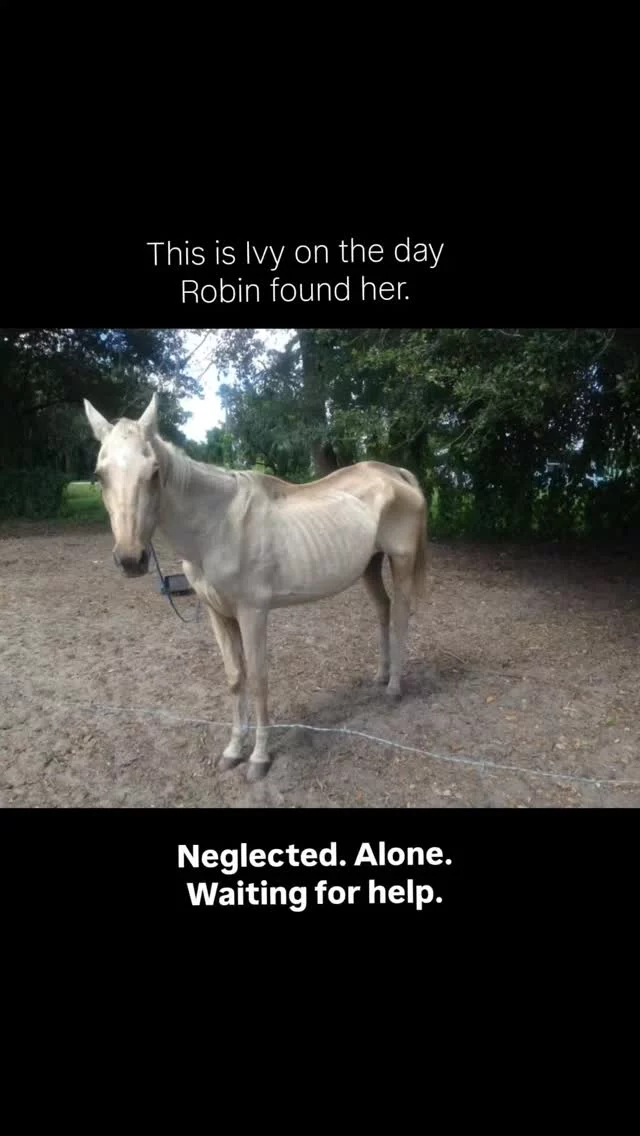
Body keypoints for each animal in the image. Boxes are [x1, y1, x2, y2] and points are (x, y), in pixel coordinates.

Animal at [84, 393, 429, 781]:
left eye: (154, 471)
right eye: (100, 475)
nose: (131, 559)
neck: (217, 525)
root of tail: (394, 473)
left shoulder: (253, 614)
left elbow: (260, 680)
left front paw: (259, 758)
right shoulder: (218, 614)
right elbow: (236, 678)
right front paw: (234, 750)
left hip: (400, 562)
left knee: (400, 616)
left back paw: (395, 688)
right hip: (369, 565)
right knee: (383, 610)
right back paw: (381, 676)